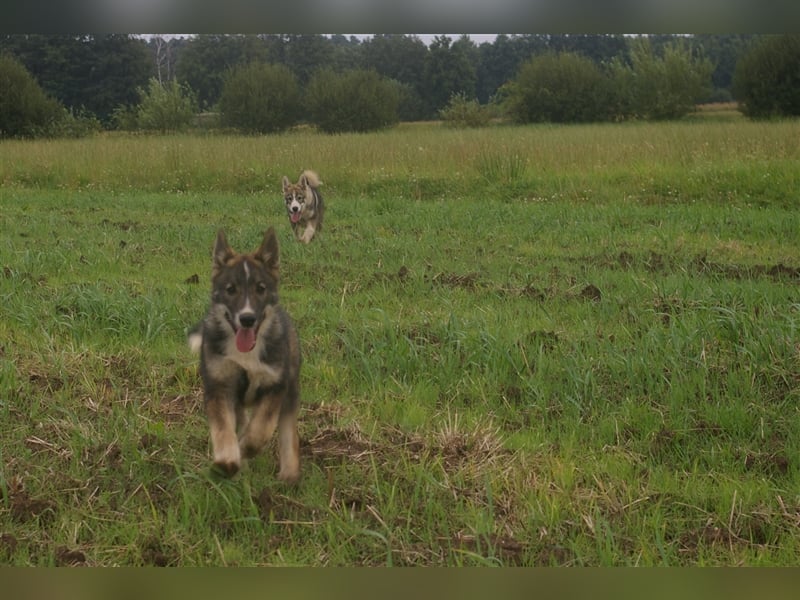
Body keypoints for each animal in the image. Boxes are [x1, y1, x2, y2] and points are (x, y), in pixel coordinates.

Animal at [189, 227, 302, 480]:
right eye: (231, 290)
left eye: (261, 288)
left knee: (287, 428)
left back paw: (289, 474)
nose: (247, 318)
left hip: (290, 387)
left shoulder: (275, 385)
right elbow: (223, 427)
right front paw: (228, 460)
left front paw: (246, 447)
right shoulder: (219, 386)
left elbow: (262, 428)